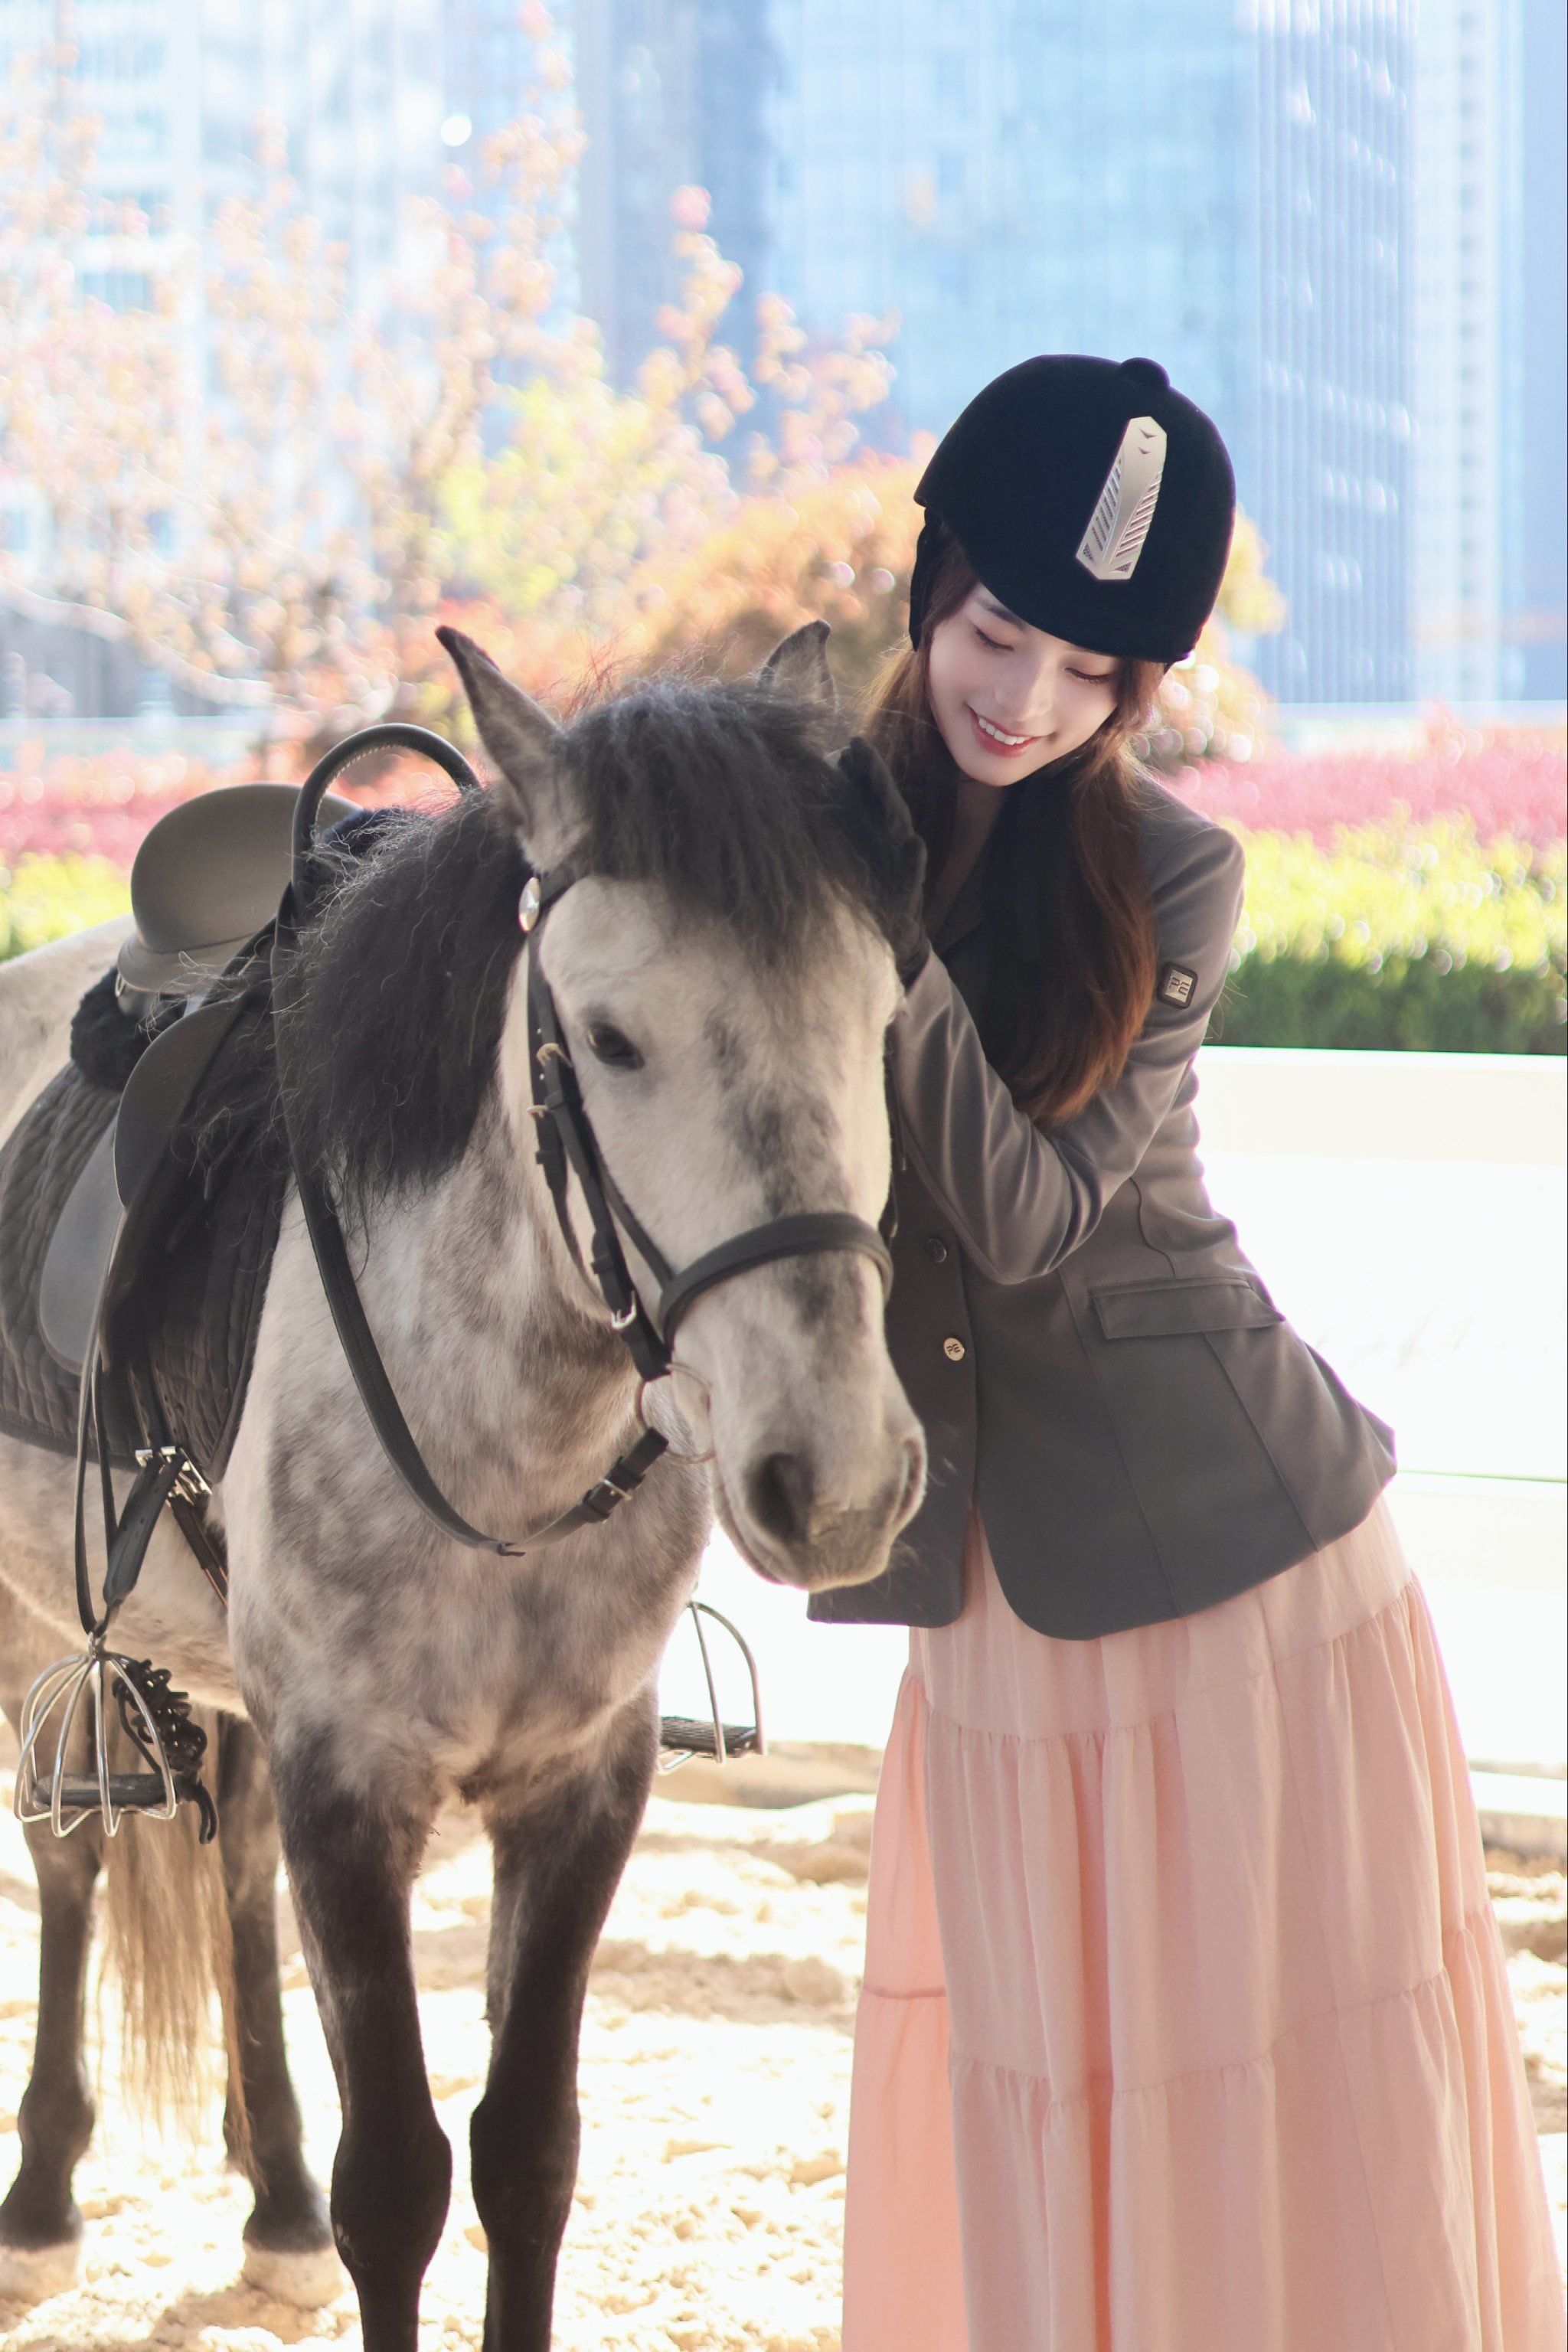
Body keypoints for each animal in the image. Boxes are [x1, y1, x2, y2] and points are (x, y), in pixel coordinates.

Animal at [0, 622, 928, 2345]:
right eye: (611, 1037)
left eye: (878, 1013)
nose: (834, 1477)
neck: (504, 1439)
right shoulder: (354, 1785)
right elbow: (400, 2182)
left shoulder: (580, 1786)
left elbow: (525, 2153)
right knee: (77, 1855)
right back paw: (42, 2198)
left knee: (231, 1866)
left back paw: (271, 2194)